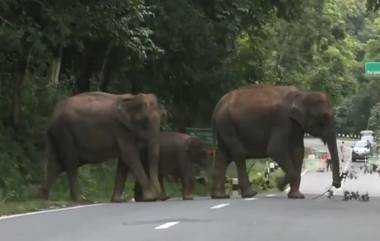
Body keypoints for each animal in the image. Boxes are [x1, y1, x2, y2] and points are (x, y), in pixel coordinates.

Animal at [211, 84, 342, 200]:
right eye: (324, 117)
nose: (336, 184)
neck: (302, 94)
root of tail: (217, 106)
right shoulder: (281, 119)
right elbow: (275, 149)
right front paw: (280, 185)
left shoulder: (297, 125)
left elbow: (298, 150)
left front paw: (296, 196)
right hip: (227, 124)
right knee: (238, 153)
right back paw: (250, 194)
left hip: (223, 127)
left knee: (223, 156)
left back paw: (220, 196)